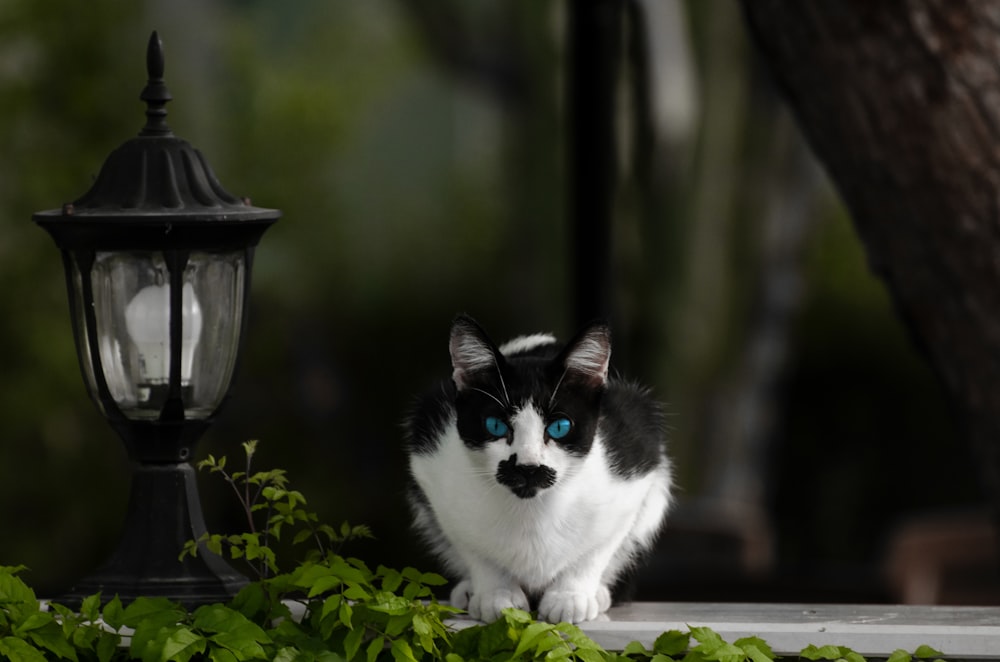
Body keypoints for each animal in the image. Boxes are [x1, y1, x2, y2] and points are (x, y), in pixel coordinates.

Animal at [404, 320, 672, 624]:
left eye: (559, 427)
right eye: (495, 425)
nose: (528, 467)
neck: (532, 511)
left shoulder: (636, 466)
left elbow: (598, 548)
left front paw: (570, 596)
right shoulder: (432, 475)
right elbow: (473, 550)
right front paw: (498, 593)